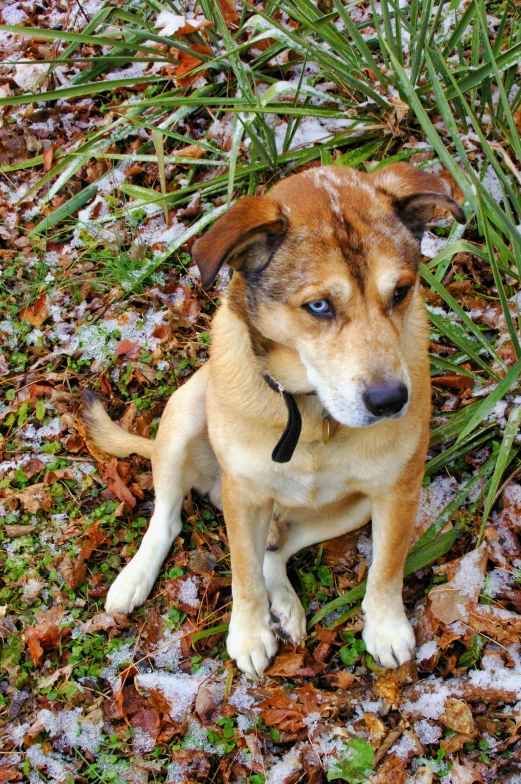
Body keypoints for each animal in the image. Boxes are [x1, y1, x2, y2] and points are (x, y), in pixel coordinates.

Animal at [83, 162, 466, 676]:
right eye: (319, 305)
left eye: (401, 291)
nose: (390, 401)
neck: (310, 411)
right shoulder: (243, 495)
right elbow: (243, 575)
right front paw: (248, 633)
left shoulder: (397, 489)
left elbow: (386, 567)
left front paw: (385, 627)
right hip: (186, 412)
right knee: (168, 519)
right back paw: (135, 578)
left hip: (350, 508)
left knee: (276, 553)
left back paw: (283, 603)